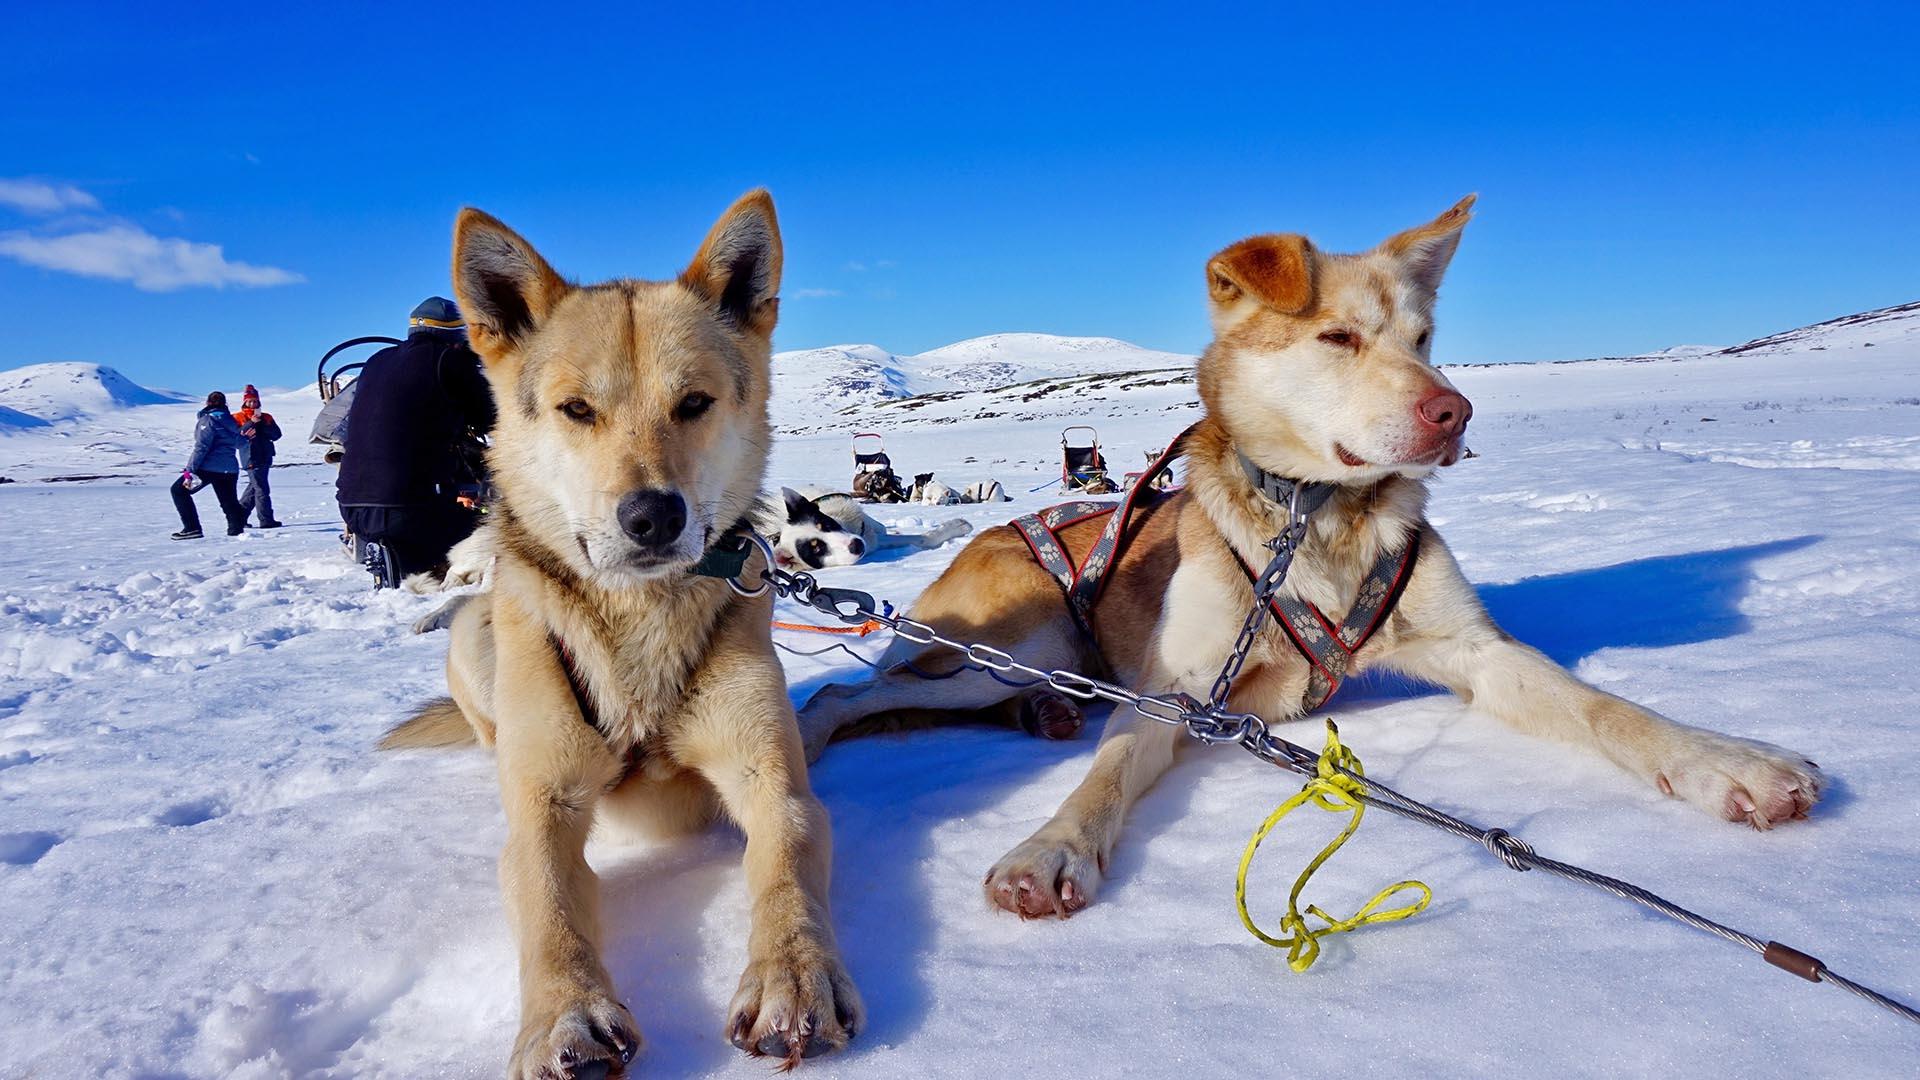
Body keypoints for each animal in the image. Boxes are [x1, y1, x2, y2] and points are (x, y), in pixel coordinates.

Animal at [382, 191, 864, 1068]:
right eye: (577, 409)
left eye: (694, 403)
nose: (651, 516)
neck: (638, 624)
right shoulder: (543, 807)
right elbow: (548, 903)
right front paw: (565, 1014)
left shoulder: (770, 780)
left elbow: (787, 858)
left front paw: (793, 973)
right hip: (474, 632)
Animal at [756, 488, 975, 572]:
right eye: (817, 549)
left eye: (825, 525)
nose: (855, 545)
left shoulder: (868, 537)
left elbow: (921, 538)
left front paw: (955, 526)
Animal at [802, 193, 1820, 914]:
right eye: (1336, 336)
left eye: (1424, 339)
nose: (1455, 411)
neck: (1314, 521)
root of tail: (998, 527)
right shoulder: (1177, 690)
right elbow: (1104, 776)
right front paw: (1048, 848)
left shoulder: (1478, 653)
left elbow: (1605, 707)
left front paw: (1726, 762)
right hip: (1009, 650)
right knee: (854, 696)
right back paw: (822, 730)